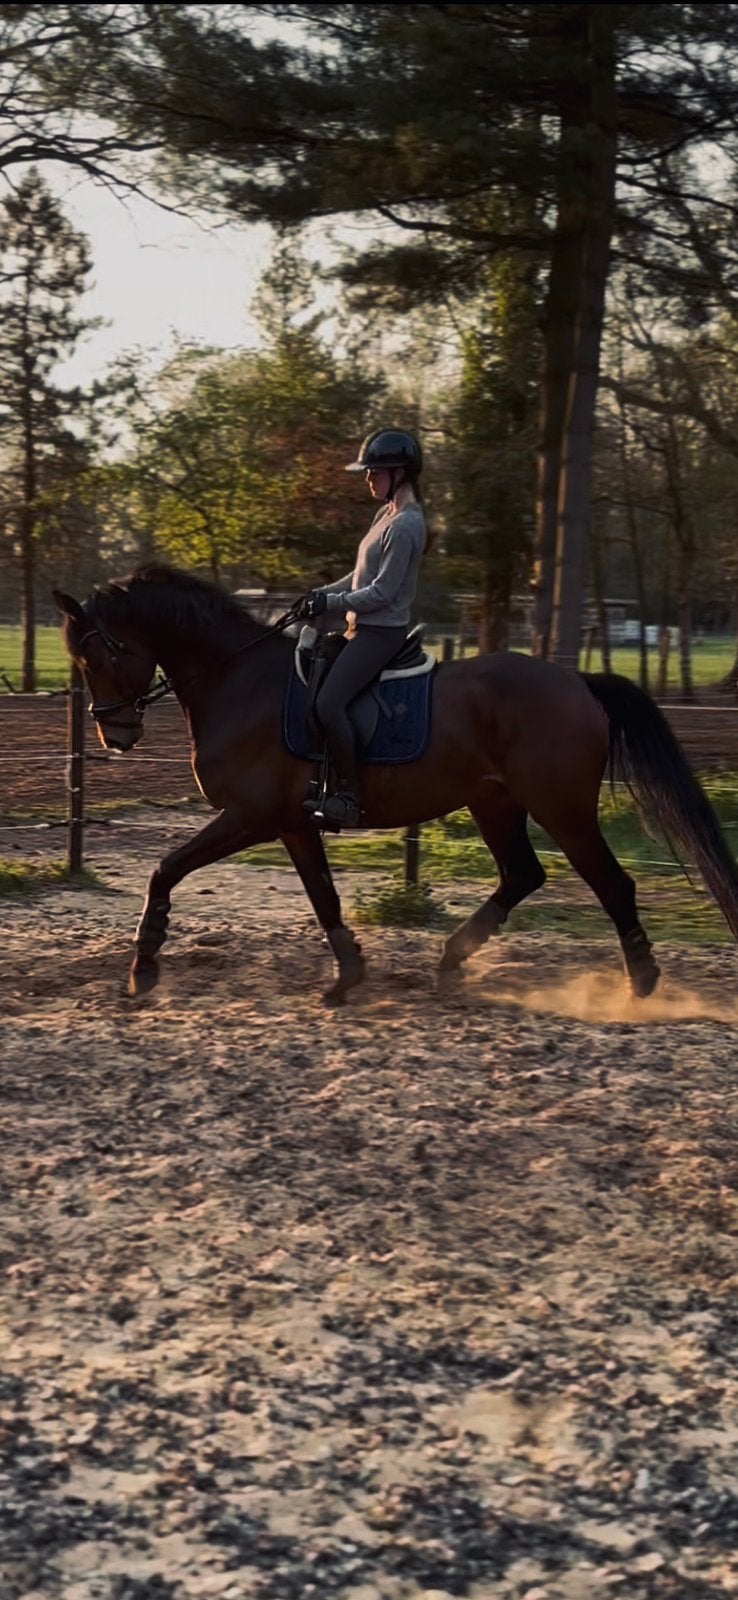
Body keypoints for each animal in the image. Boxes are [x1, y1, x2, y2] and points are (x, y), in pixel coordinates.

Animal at [53, 563, 738, 1006]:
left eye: (98, 654)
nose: (115, 733)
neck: (239, 680)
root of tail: (578, 682)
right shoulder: (292, 822)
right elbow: (323, 897)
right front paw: (347, 976)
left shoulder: (250, 816)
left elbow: (164, 869)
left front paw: (143, 965)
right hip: (495, 803)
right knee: (523, 875)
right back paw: (453, 960)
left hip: (560, 806)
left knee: (611, 882)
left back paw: (640, 983)